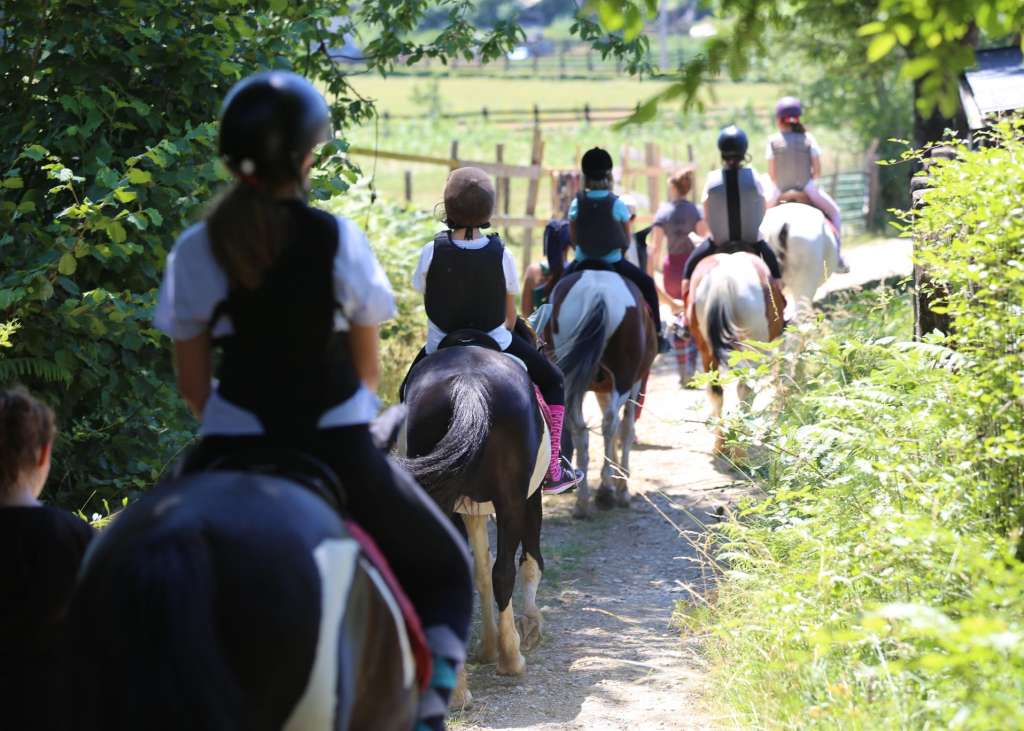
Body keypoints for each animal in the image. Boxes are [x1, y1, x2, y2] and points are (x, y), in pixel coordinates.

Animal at [395, 333, 548, 704]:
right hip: (511, 502)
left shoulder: (469, 510)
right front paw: (527, 628)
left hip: (442, 498)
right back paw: (512, 659)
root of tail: (469, 384)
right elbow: (527, 561)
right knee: (505, 571)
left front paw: (487, 647)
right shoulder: (530, 497)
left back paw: (457, 689)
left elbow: (479, 572)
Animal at [544, 268, 655, 518]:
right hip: (623, 379)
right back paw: (606, 491)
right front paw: (621, 485)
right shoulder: (635, 385)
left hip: (571, 380)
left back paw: (583, 501)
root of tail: (598, 293)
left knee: (578, 428)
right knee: (611, 423)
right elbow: (626, 430)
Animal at [688, 251, 782, 450]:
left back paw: (720, 444)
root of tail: (723, 279)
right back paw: (740, 448)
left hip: (706, 348)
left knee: (715, 390)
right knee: (746, 388)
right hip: (753, 345)